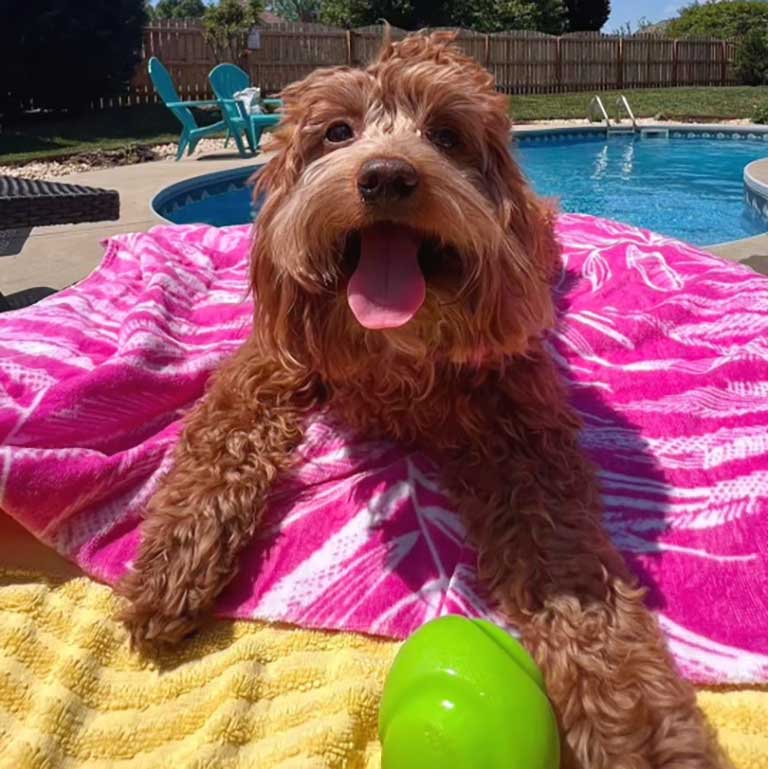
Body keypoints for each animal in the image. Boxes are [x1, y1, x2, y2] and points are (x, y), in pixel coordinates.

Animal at [121, 31, 728, 768]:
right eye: (337, 131)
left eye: (446, 134)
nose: (386, 176)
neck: (398, 343)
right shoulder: (269, 364)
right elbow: (219, 442)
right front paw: (172, 562)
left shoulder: (520, 425)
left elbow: (563, 556)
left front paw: (634, 717)